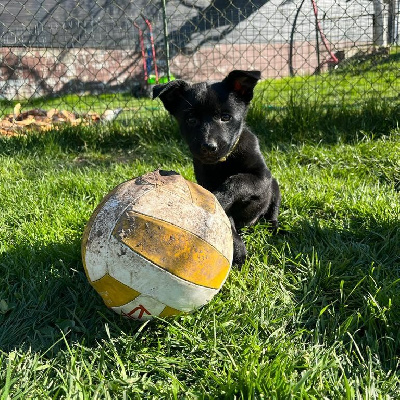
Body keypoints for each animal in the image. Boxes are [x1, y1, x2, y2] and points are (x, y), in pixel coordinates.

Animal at [153, 71, 282, 266]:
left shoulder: (261, 177)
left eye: (226, 117)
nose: (208, 146)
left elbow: (237, 179)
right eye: (191, 119)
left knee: (272, 212)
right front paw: (238, 249)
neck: (223, 162)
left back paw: (274, 228)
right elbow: (225, 220)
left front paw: (219, 197)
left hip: (274, 186)